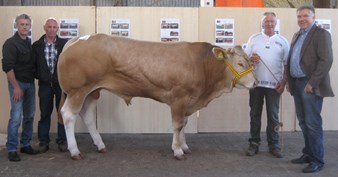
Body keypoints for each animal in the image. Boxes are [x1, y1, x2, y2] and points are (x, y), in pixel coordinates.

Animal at [57, 34, 256, 160]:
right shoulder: (179, 97)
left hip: (92, 91)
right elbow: (177, 125)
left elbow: (184, 124)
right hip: (78, 90)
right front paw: (177, 150)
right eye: (240, 63)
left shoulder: (188, 101)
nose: (255, 83)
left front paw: (184, 146)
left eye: (249, 61)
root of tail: (76, 40)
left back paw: (100, 145)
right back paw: (75, 151)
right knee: (68, 115)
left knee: (87, 115)